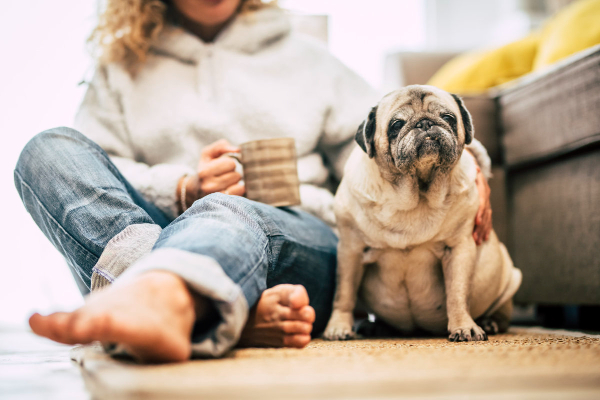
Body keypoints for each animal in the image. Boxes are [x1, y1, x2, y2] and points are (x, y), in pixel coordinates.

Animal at [324, 86, 520, 342]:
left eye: (448, 118)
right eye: (396, 124)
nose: (425, 123)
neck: (415, 195)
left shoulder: (459, 248)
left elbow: (458, 292)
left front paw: (464, 326)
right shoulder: (351, 250)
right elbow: (344, 293)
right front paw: (338, 327)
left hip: (510, 279)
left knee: (502, 313)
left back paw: (490, 322)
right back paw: (374, 327)